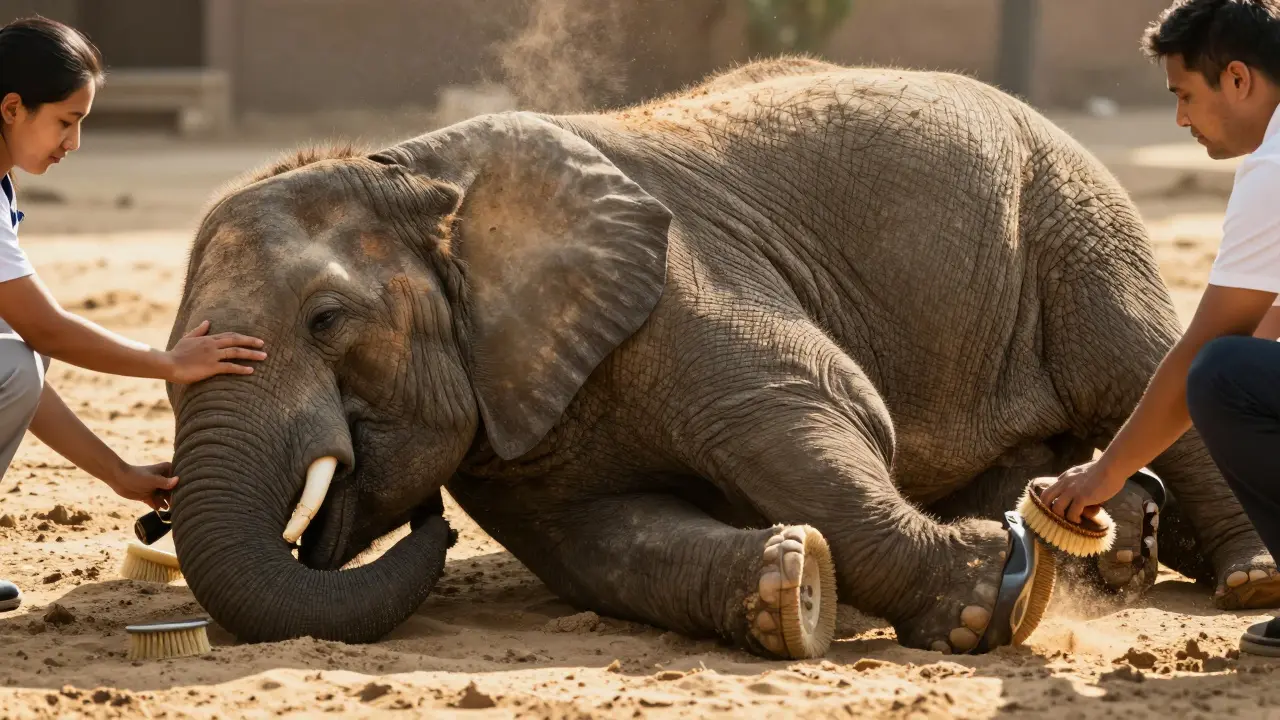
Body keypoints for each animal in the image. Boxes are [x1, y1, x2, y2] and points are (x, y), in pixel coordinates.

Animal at [164, 58, 1280, 659]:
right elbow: (604, 548)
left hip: (1073, 217)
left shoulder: (680, 279)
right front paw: (791, 588)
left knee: (1138, 368)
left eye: (324, 322)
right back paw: (1116, 538)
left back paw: (1244, 580)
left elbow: (810, 418)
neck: (408, 166)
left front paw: (981, 608)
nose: (423, 526)